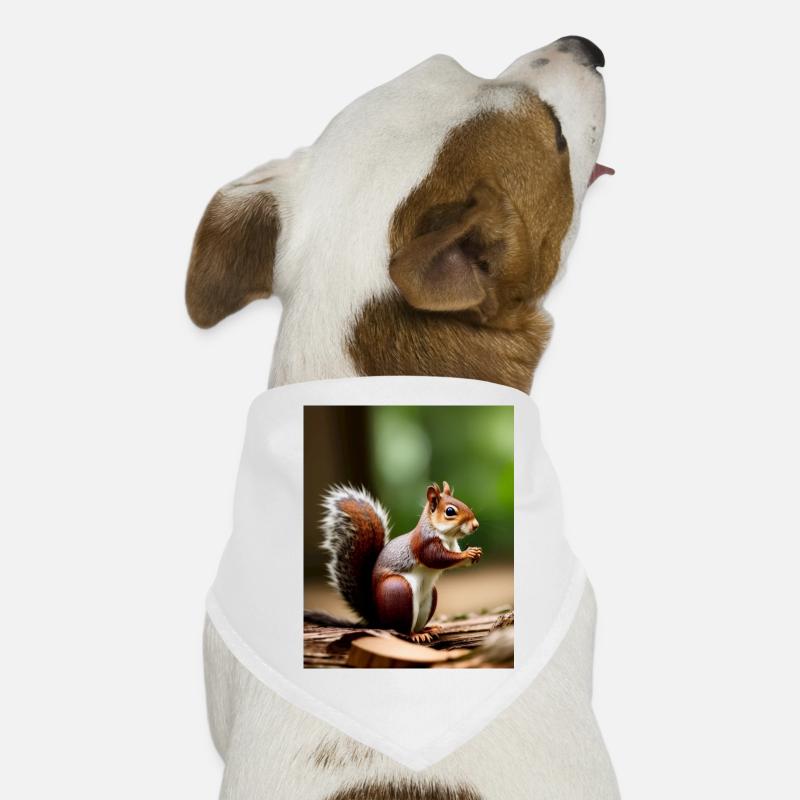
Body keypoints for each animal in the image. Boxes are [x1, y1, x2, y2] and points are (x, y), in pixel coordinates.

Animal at [314, 481, 482, 642]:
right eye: (450, 511)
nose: (476, 525)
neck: (446, 536)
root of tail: (378, 619)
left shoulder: (453, 545)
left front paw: (475, 553)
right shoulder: (425, 545)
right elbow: (437, 559)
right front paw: (467, 554)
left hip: (428, 598)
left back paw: (427, 630)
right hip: (399, 591)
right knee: (401, 629)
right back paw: (415, 635)